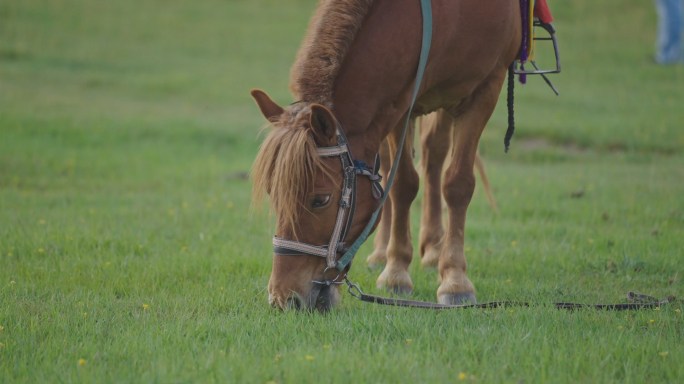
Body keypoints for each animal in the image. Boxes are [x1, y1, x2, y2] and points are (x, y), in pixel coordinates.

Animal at [252, 0, 524, 310]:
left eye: (320, 200)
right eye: (273, 193)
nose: (283, 298)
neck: (453, 14)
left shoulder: (486, 88)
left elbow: (458, 184)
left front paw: (455, 280)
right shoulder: (400, 101)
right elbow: (402, 185)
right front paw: (396, 272)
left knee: (435, 153)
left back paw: (434, 252)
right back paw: (385, 253)